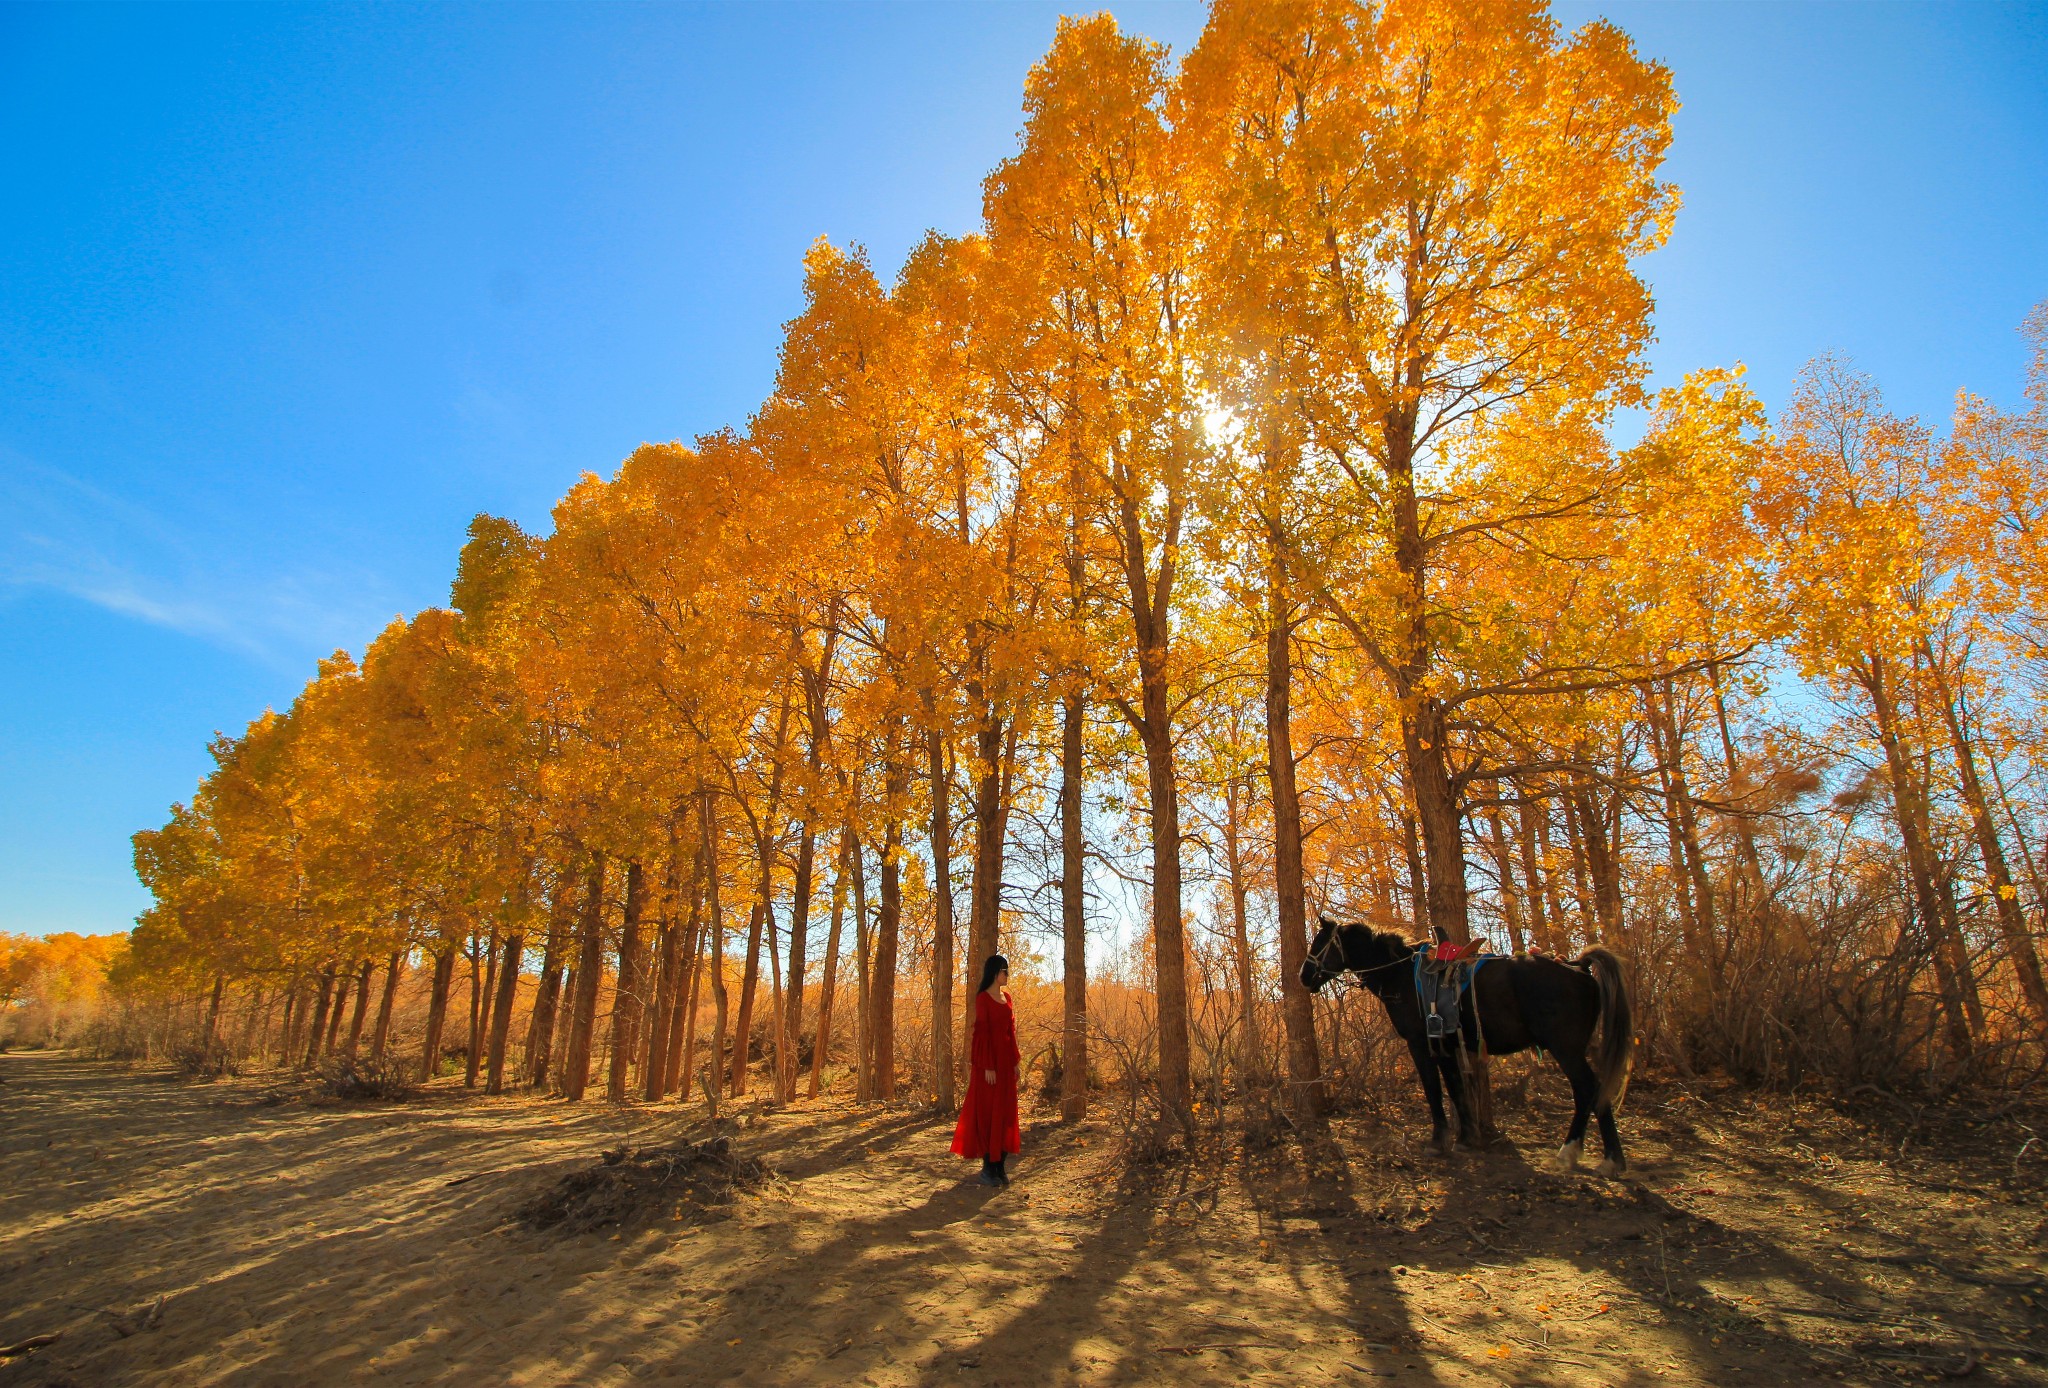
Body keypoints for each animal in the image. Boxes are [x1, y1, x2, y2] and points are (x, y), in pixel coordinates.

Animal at [1310, 917, 1630, 1179]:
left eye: (1319, 943)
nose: (1304, 975)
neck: (1399, 974)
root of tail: (1579, 966)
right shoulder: (1446, 1044)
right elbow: (1457, 1089)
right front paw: (1466, 1138)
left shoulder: (1419, 1043)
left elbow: (1433, 1089)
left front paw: (1438, 1141)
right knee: (1591, 1090)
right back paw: (1598, 1156)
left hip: (1565, 1047)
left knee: (1588, 1088)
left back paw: (1587, 1154)